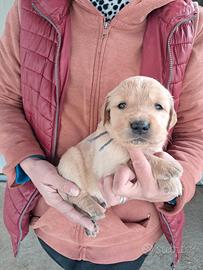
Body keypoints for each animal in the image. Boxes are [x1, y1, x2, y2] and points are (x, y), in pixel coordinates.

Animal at [56, 75, 182, 234]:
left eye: (158, 106)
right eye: (122, 105)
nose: (139, 125)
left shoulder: (154, 148)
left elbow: (152, 153)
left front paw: (171, 182)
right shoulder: (108, 162)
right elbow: (139, 158)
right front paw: (169, 169)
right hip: (70, 163)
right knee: (76, 196)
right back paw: (95, 210)